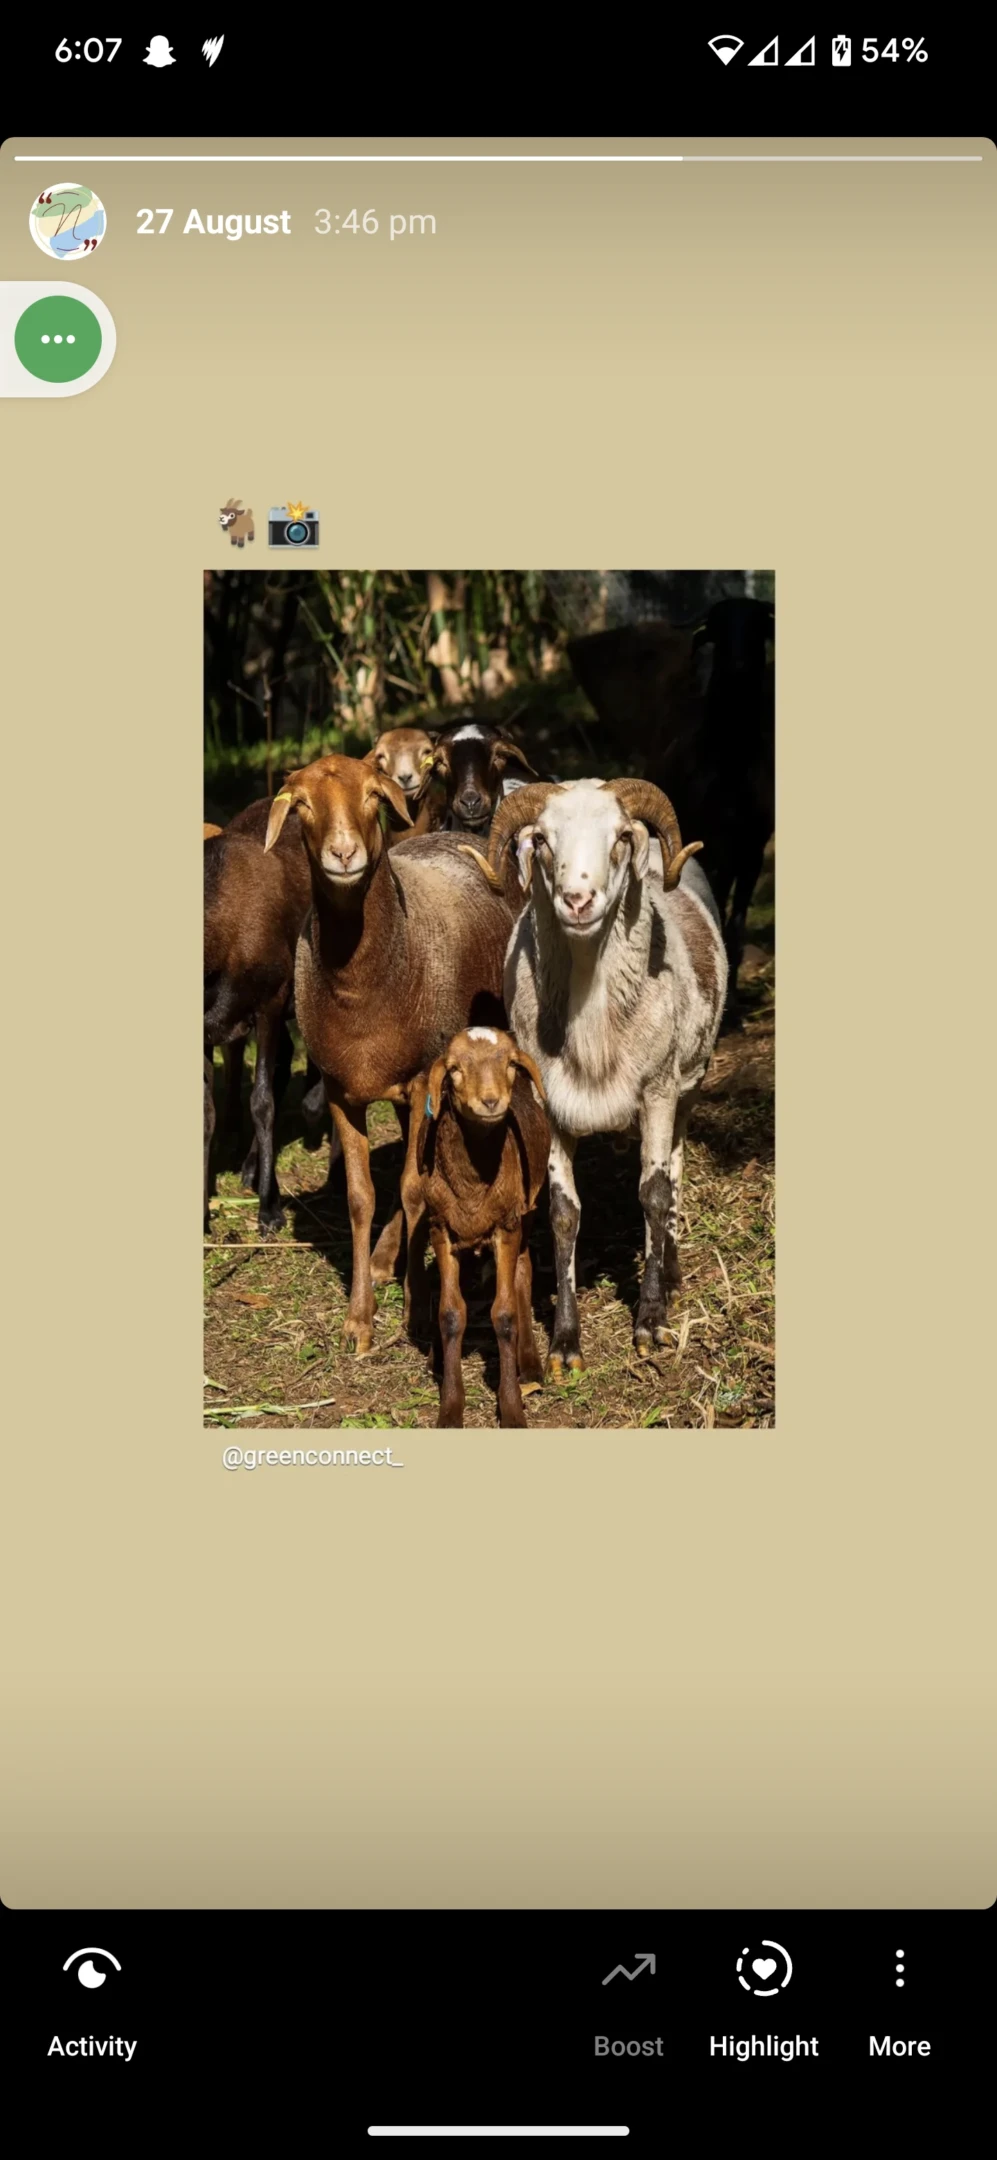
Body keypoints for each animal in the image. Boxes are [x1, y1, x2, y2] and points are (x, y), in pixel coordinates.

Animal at [263, 754, 514, 1353]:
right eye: (301, 804)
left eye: (373, 797)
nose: (343, 854)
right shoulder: (340, 1089)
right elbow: (361, 1198)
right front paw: (360, 1317)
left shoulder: (425, 1078)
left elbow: (414, 1188)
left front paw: (418, 1311)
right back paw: (383, 1257)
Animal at [402, 1027, 549, 1428]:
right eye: (454, 1069)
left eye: (510, 1063)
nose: (491, 1100)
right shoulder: (441, 1229)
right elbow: (451, 1313)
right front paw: (450, 1408)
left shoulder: (507, 1227)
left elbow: (504, 1314)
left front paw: (512, 1409)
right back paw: (438, 1359)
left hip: (526, 1214)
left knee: (523, 1274)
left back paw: (530, 1363)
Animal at [476, 779, 727, 1373]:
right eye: (542, 840)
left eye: (618, 839)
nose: (577, 901)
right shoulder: (550, 1102)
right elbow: (564, 1213)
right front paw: (565, 1342)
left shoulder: (658, 1090)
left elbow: (654, 1195)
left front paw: (651, 1321)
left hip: (688, 1085)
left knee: (674, 1168)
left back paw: (673, 1269)